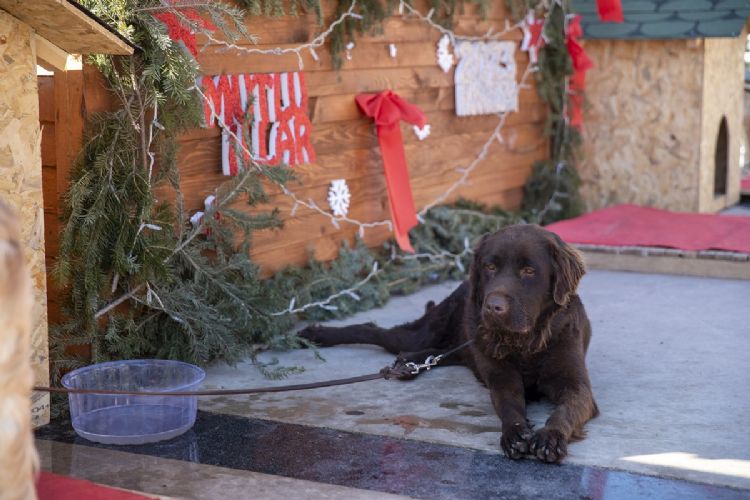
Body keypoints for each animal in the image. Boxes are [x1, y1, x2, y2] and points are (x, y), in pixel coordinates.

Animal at [300, 225, 600, 462]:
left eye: (528, 270)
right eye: (490, 267)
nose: (493, 307)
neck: (525, 343)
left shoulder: (576, 385)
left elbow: (565, 410)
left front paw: (549, 436)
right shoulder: (501, 377)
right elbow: (508, 404)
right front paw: (515, 433)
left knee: (443, 353)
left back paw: (407, 363)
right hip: (426, 331)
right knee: (376, 331)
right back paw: (318, 334)